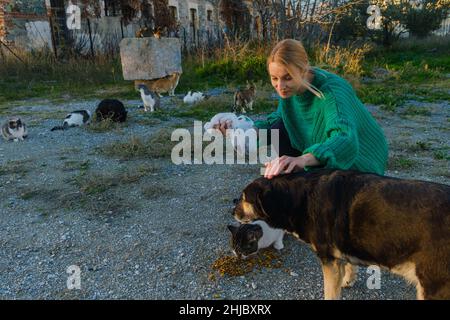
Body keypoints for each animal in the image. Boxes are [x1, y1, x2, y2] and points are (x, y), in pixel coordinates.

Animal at [232, 170, 450, 300]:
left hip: (432, 286)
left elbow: (330, 292)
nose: (232, 211)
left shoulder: (329, 260)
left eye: (243, 198)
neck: (298, 198)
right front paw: (348, 280)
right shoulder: (343, 251)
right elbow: (350, 266)